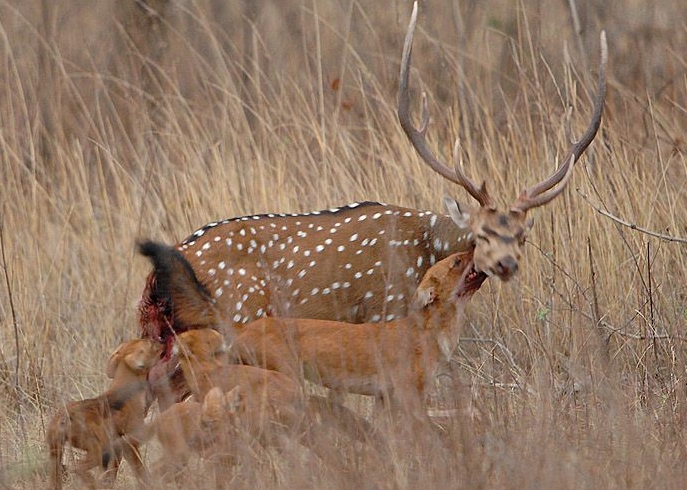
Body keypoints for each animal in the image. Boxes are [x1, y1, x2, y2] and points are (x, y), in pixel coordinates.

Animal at [231, 249, 484, 422]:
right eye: (456, 261)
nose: (475, 244)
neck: (431, 333)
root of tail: (242, 331)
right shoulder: (408, 392)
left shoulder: (384, 397)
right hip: (287, 377)